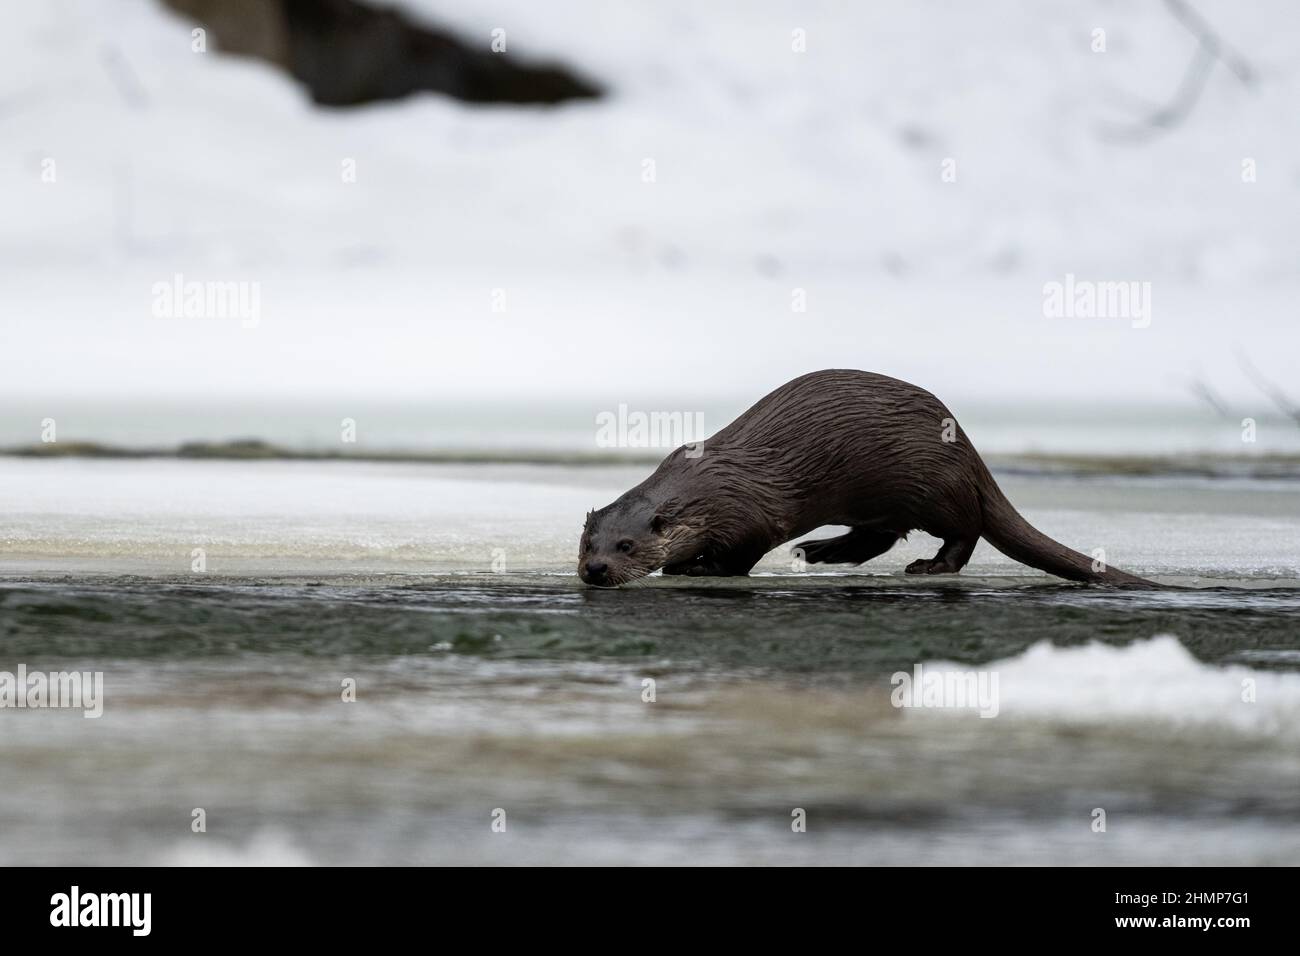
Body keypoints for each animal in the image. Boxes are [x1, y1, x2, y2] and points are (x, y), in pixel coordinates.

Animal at [578, 369, 1156, 588]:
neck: (707, 491)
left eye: (627, 546)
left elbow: (740, 557)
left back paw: (929, 566)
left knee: (964, 529)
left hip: (932, 486)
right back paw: (819, 551)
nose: (594, 570)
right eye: (588, 544)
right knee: (880, 535)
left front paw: (693, 567)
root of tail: (968, 449)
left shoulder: (751, 517)